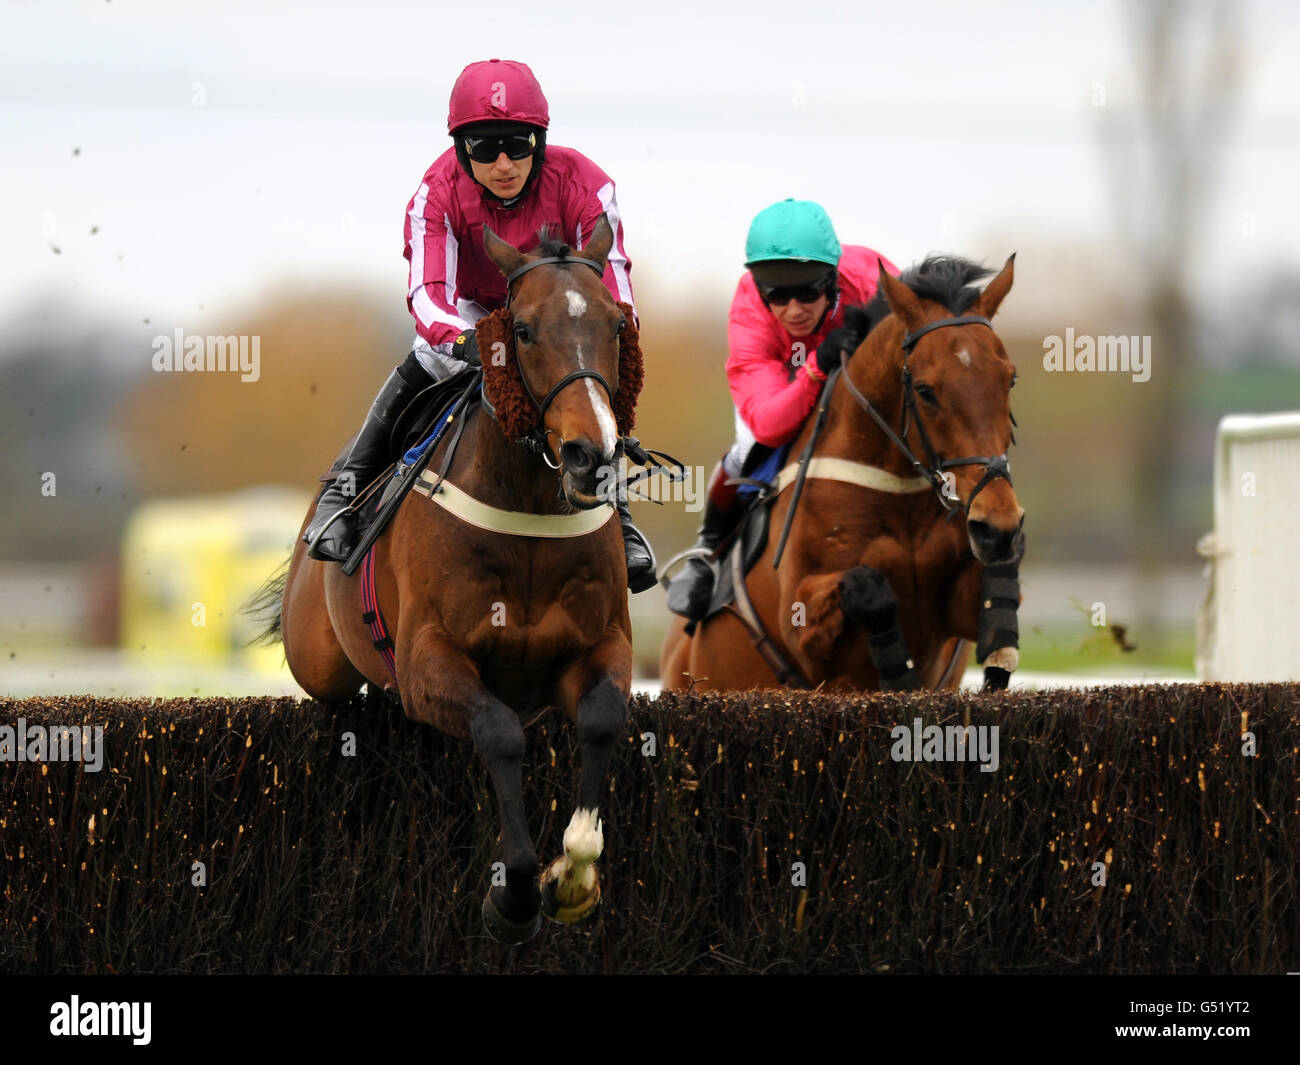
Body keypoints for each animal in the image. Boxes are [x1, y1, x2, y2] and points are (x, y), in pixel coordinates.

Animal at [257, 214, 639, 941]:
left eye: (614, 324)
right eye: (523, 330)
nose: (590, 454)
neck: (526, 511)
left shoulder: (598, 644)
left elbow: (603, 719)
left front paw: (573, 878)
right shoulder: (427, 656)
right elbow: (498, 731)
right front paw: (513, 893)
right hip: (317, 657)